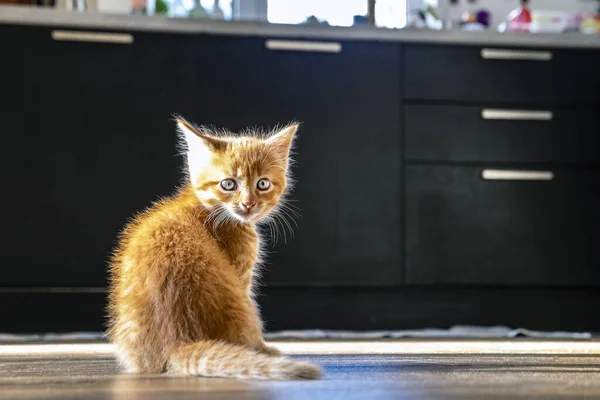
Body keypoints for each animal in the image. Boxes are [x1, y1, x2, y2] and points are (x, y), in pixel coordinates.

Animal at [108, 117, 324, 380]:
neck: (208, 208)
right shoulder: (242, 274)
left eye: (262, 184)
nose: (248, 204)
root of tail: (176, 341)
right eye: (228, 184)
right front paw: (264, 347)